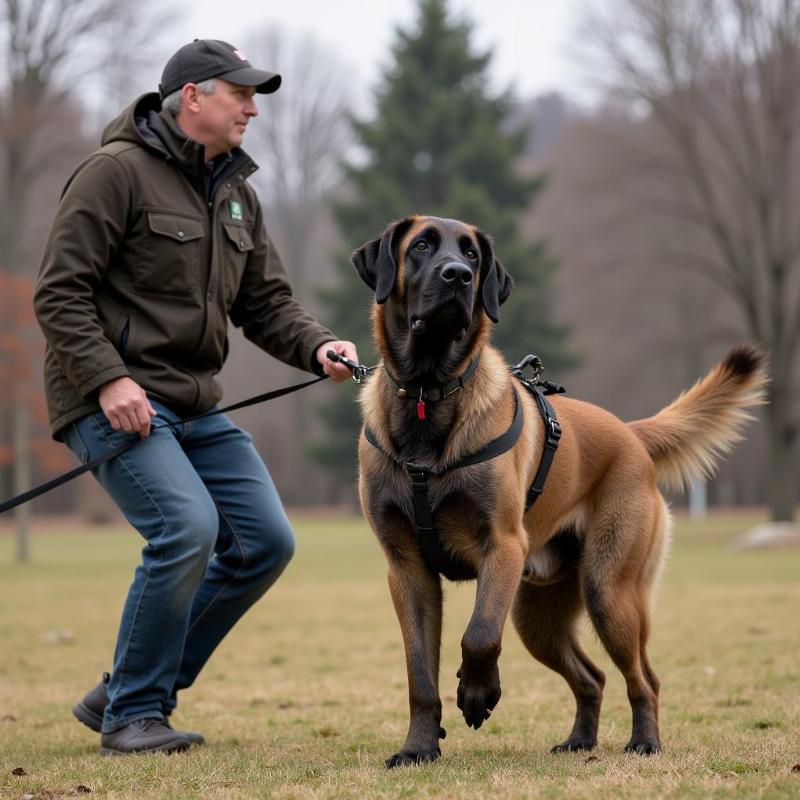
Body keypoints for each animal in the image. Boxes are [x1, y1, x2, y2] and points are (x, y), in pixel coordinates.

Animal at [352, 216, 768, 764]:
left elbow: (479, 635)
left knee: (645, 679)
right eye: (421, 246)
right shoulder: (408, 571)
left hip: (609, 592)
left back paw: (644, 742)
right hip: (539, 617)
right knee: (592, 678)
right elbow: (420, 675)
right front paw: (419, 747)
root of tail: (631, 434)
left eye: (471, 254)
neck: (427, 395)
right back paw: (580, 740)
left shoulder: (502, 546)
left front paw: (477, 693)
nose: (458, 275)